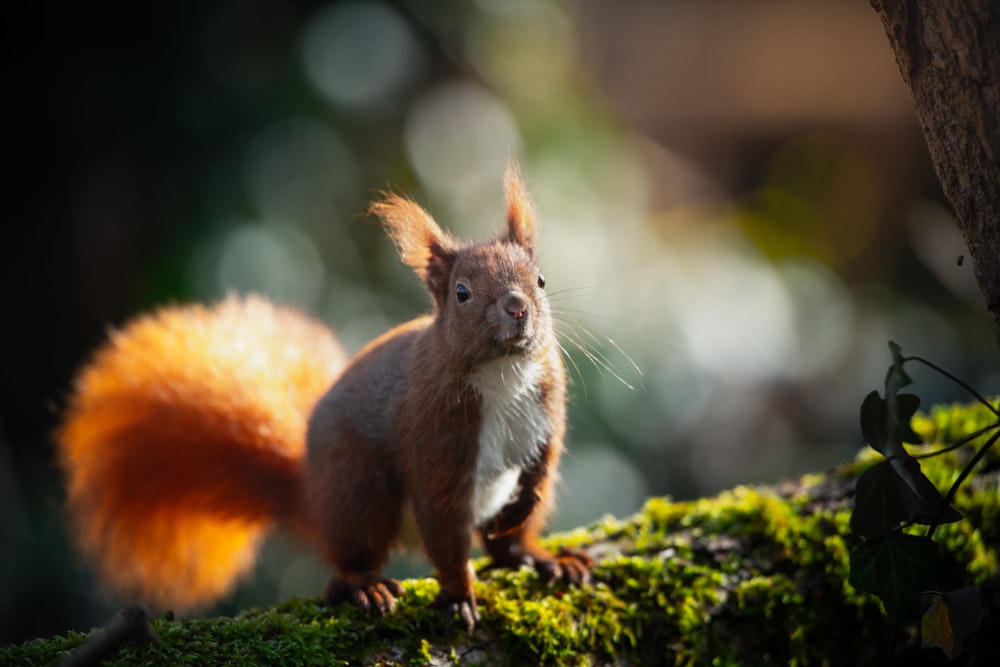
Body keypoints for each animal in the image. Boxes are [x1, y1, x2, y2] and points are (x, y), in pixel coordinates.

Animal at [56, 160, 592, 632]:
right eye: (461, 293)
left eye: (540, 279)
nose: (517, 307)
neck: (502, 371)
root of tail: (311, 493)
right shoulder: (435, 438)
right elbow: (444, 530)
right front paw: (459, 596)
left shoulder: (548, 400)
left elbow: (544, 459)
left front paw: (528, 501)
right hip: (358, 490)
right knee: (352, 558)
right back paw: (363, 586)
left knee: (506, 543)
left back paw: (544, 557)